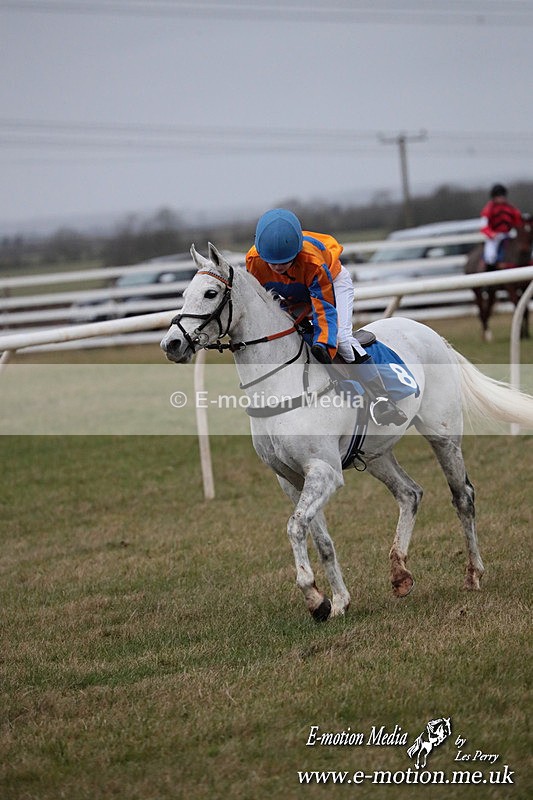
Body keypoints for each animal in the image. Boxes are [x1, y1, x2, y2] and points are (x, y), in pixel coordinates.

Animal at [161, 243, 533, 621]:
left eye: (210, 293)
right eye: (183, 294)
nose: (172, 344)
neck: (280, 383)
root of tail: (433, 335)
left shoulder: (323, 471)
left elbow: (295, 526)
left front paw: (313, 596)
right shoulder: (291, 478)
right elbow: (320, 537)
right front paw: (337, 601)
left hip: (442, 435)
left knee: (463, 497)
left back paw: (473, 573)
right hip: (376, 452)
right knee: (410, 494)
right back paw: (399, 573)